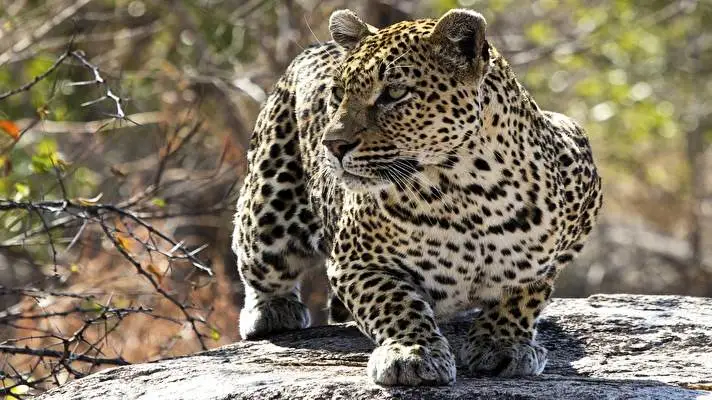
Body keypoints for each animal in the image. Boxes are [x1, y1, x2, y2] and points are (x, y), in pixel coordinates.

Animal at [232, 8, 602, 386]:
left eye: (395, 93)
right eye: (337, 93)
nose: (331, 144)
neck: (470, 193)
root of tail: (314, 47)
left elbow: (524, 294)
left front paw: (503, 343)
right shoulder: (356, 262)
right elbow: (395, 303)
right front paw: (413, 353)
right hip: (267, 212)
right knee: (260, 262)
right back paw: (272, 311)